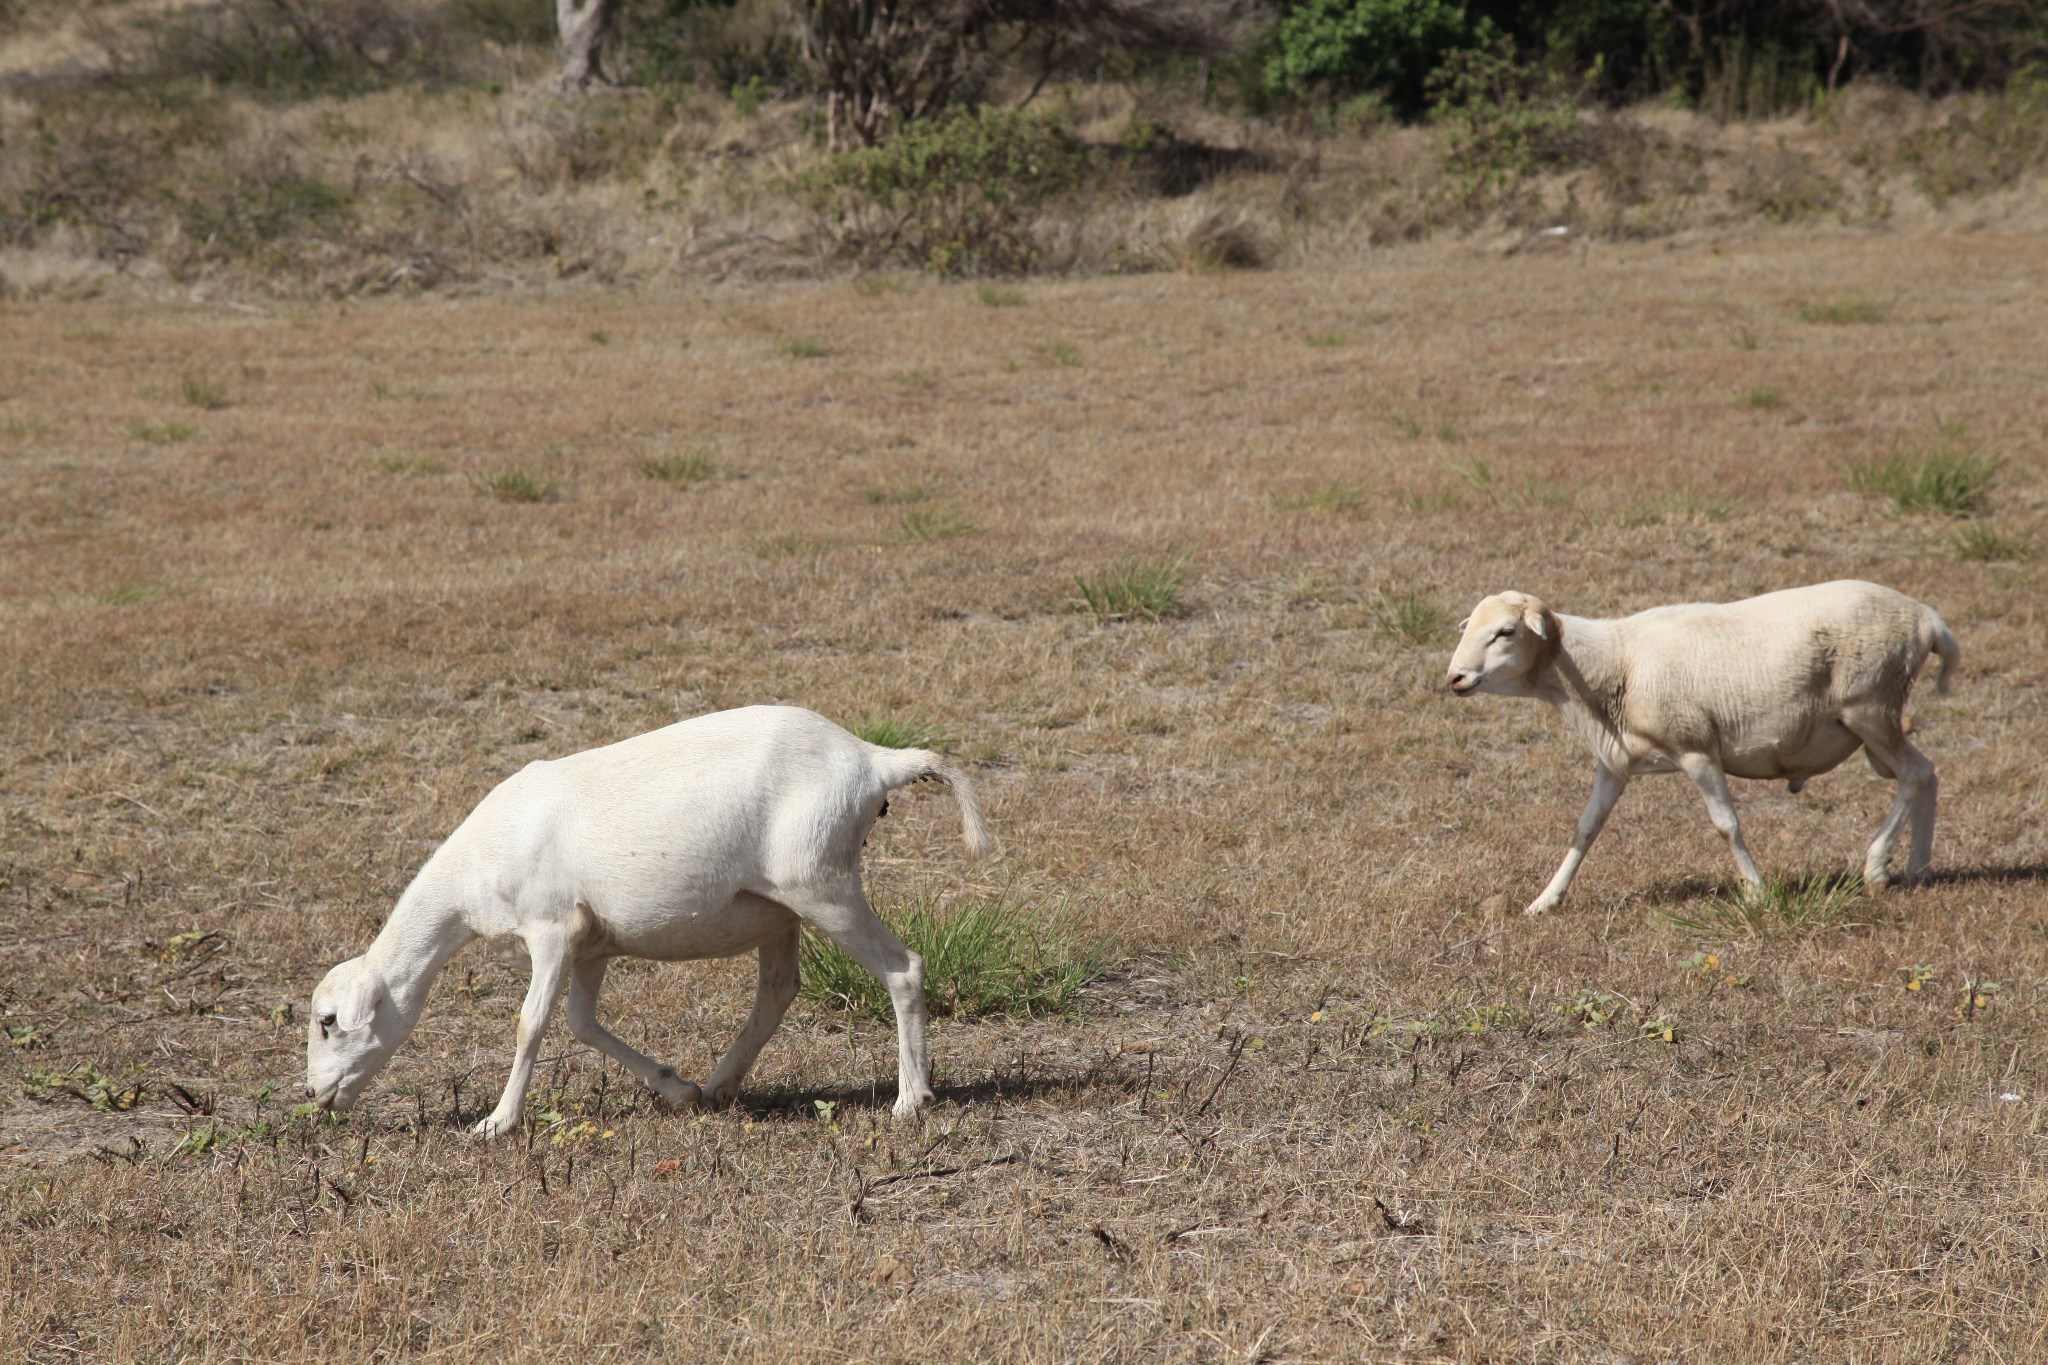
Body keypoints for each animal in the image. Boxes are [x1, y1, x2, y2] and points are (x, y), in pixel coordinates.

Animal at [301, 699, 991, 1137]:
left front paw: (496, 1123)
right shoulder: (590, 945)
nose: (314, 1095)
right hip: (783, 908)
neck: (478, 865)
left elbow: (531, 1024)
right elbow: (581, 1023)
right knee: (777, 991)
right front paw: (674, 1088)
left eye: (328, 1022)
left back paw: (910, 1100)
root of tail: (873, 759)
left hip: (823, 884)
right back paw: (718, 1086)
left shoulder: (551, 929)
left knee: (903, 968)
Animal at [1449, 581, 1957, 916]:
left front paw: (1756, 892)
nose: (1454, 678)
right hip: (1874, 726)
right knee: (1925, 772)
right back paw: (1919, 869)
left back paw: (1878, 867)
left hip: (1870, 709)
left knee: (1914, 774)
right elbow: (1585, 829)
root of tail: (1927, 618)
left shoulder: (1696, 750)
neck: (1613, 663)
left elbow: (1726, 826)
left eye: (1506, 632)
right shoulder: (1615, 763)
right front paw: (1545, 901)